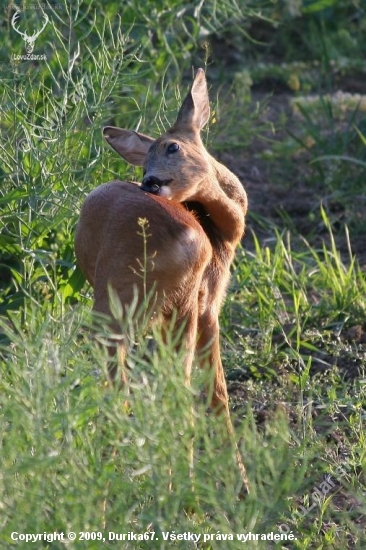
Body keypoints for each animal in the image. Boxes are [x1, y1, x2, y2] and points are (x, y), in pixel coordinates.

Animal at [76, 69, 250, 496]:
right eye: (146, 161)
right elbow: (217, 392)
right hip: (161, 309)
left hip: (121, 312)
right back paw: (175, 490)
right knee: (169, 390)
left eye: (172, 146)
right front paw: (241, 482)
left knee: (124, 389)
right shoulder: (209, 307)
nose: (150, 181)